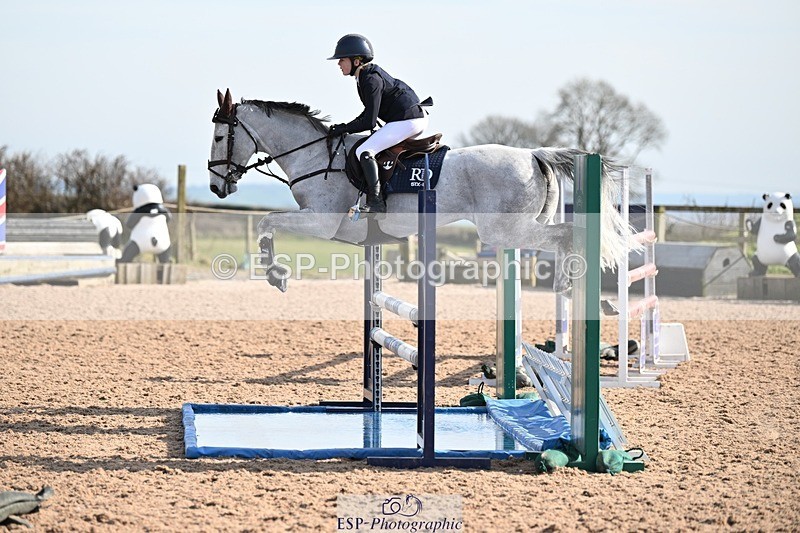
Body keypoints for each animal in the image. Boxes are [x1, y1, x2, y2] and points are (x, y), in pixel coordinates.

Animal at [207, 89, 634, 292]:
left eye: (219, 136)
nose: (215, 185)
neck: (315, 154)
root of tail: (533, 153)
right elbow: (268, 223)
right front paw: (275, 273)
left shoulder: (323, 223)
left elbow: (266, 222)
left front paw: (276, 275)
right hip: (520, 227)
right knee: (565, 235)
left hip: (504, 230)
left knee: (567, 234)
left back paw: (566, 285)